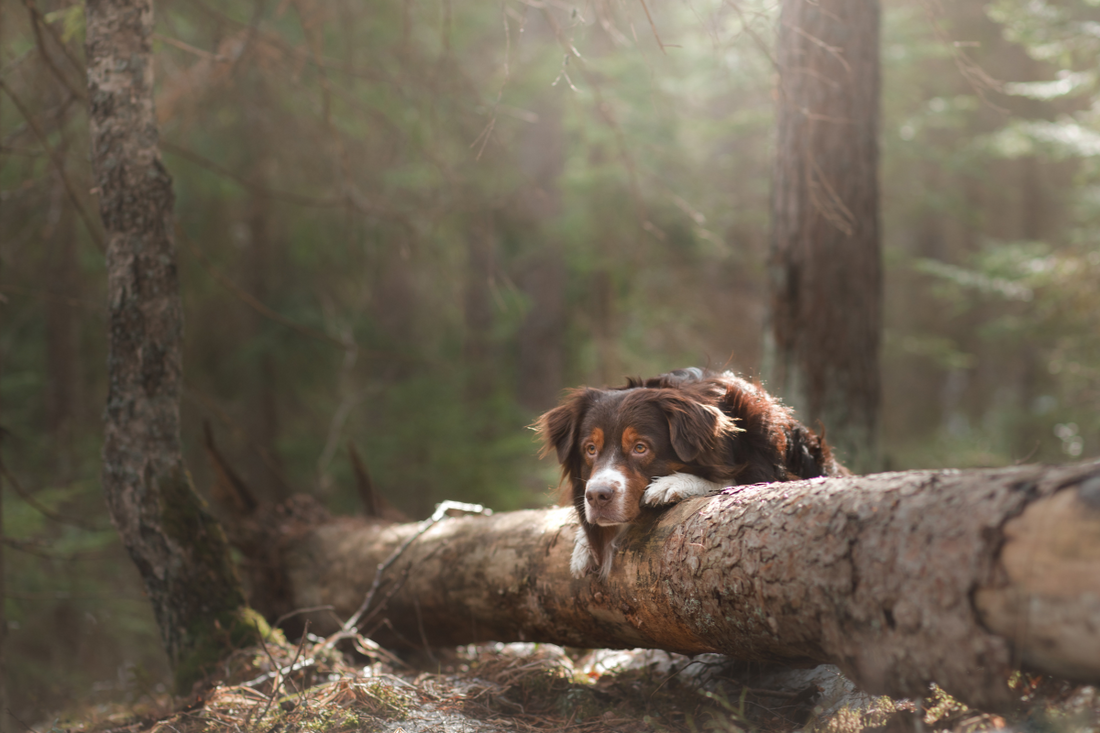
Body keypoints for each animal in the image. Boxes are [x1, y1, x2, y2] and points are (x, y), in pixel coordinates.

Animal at [536, 365, 844, 576]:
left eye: (640, 447)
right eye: (590, 449)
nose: (598, 497)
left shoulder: (769, 470)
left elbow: (727, 481)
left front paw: (672, 484)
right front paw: (583, 545)